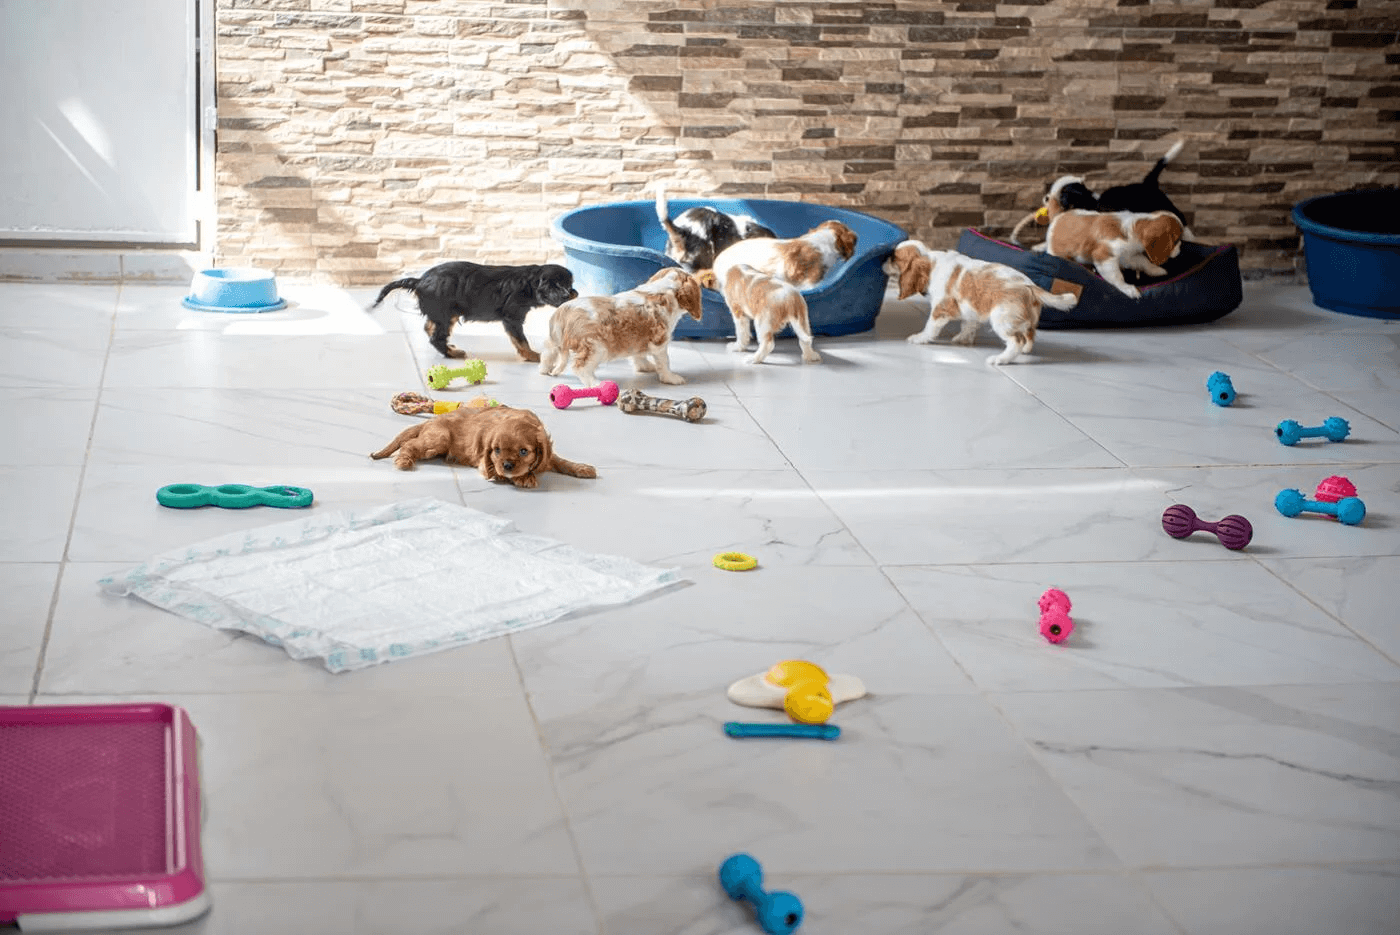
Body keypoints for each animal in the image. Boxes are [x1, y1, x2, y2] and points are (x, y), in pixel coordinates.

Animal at [369, 405, 595, 488]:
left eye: (524, 451)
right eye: (497, 450)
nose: (507, 465)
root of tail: (429, 421)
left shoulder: (547, 454)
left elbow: (560, 461)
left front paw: (582, 468)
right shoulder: (485, 463)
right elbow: (496, 471)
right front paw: (524, 477)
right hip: (439, 439)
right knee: (409, 444)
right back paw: (404, 460)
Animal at [371, 261, 577, 362]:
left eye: (569, 285)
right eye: (558, 286)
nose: (572, 293)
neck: (529, 283)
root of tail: (419, 281)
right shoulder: (512, 317)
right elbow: (521, 340)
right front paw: (532, 355)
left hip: (446, 313)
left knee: (429, 327)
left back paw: (449, 347)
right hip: (446, 313)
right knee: (436, 336)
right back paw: (451, 353)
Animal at [538, 268, 704, 387]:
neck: (663, 289)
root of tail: (563, 312)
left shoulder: (637, 338)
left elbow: (639, 356)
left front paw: (645, 367)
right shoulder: (659, 343)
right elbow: (664, 362)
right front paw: (671, 378)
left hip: (554, 341)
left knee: (547, 354)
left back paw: (544, 370)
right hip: (595, 347)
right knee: (580, 367)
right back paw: (596, 383)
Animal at [883, 240, 1078, 366]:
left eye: (893, 258)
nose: (883, 261)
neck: (930, 262)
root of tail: (1030, 286)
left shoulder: (941, 309)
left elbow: (930, 327)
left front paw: (920, 338)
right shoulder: (970, 309)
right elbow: (968, 325)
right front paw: (963, 339)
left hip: (1002, 319)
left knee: (1016, 341)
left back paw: (1001, 359)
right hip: (1025, 319)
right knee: (1030, 334)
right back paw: (1025, 350)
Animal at [1040, 209, 1184, 300]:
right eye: (1176, 240)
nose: (1180, 250)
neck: (1133, 228)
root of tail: (1056, 219)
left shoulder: (1127, 256)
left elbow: (1143, 261)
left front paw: (1156, 270)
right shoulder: (1105, 256)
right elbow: (1117, 276)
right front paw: (1128, 288)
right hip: (1056, 251)